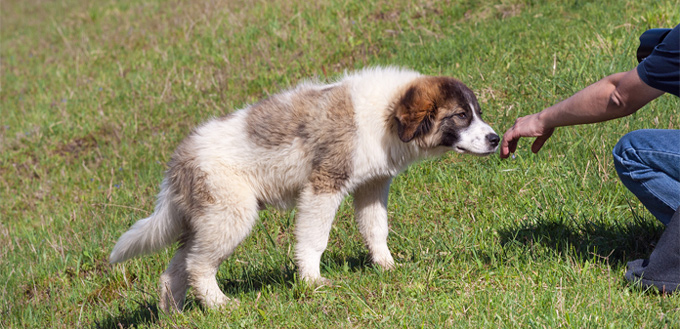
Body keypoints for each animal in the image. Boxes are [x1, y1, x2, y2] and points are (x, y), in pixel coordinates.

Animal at [107, 66, 500, 310]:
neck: (382, 116)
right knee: (197, 265)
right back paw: (220, 305)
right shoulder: (324, 185)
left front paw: (387, 266)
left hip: (205, 221)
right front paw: (313, 281)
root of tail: (178, 161)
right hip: (230, 215)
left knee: (174, 268)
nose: (496, 139)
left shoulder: (372, 185)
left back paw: (174, 314)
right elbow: (314, 239)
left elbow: (376, 228)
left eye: (477, 112)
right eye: (460, 116)